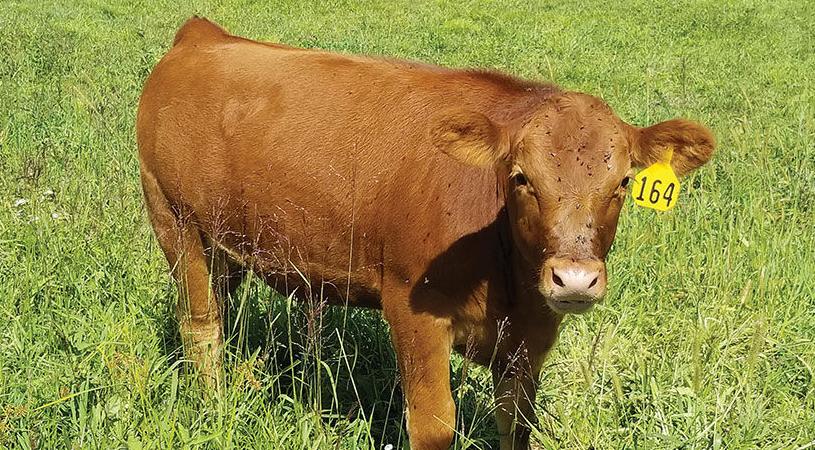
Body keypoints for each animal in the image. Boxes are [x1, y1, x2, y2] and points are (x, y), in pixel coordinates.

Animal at [137, 17, 715, 450]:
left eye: (623, 182)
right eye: (520, 177)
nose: (574, 279)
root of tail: (202, 35)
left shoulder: (531, 337)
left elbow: (517, 424)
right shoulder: (414, 309)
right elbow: (433, 425)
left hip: (229, 244)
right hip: (175, 221)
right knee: (201, 327)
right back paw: (213, 407)